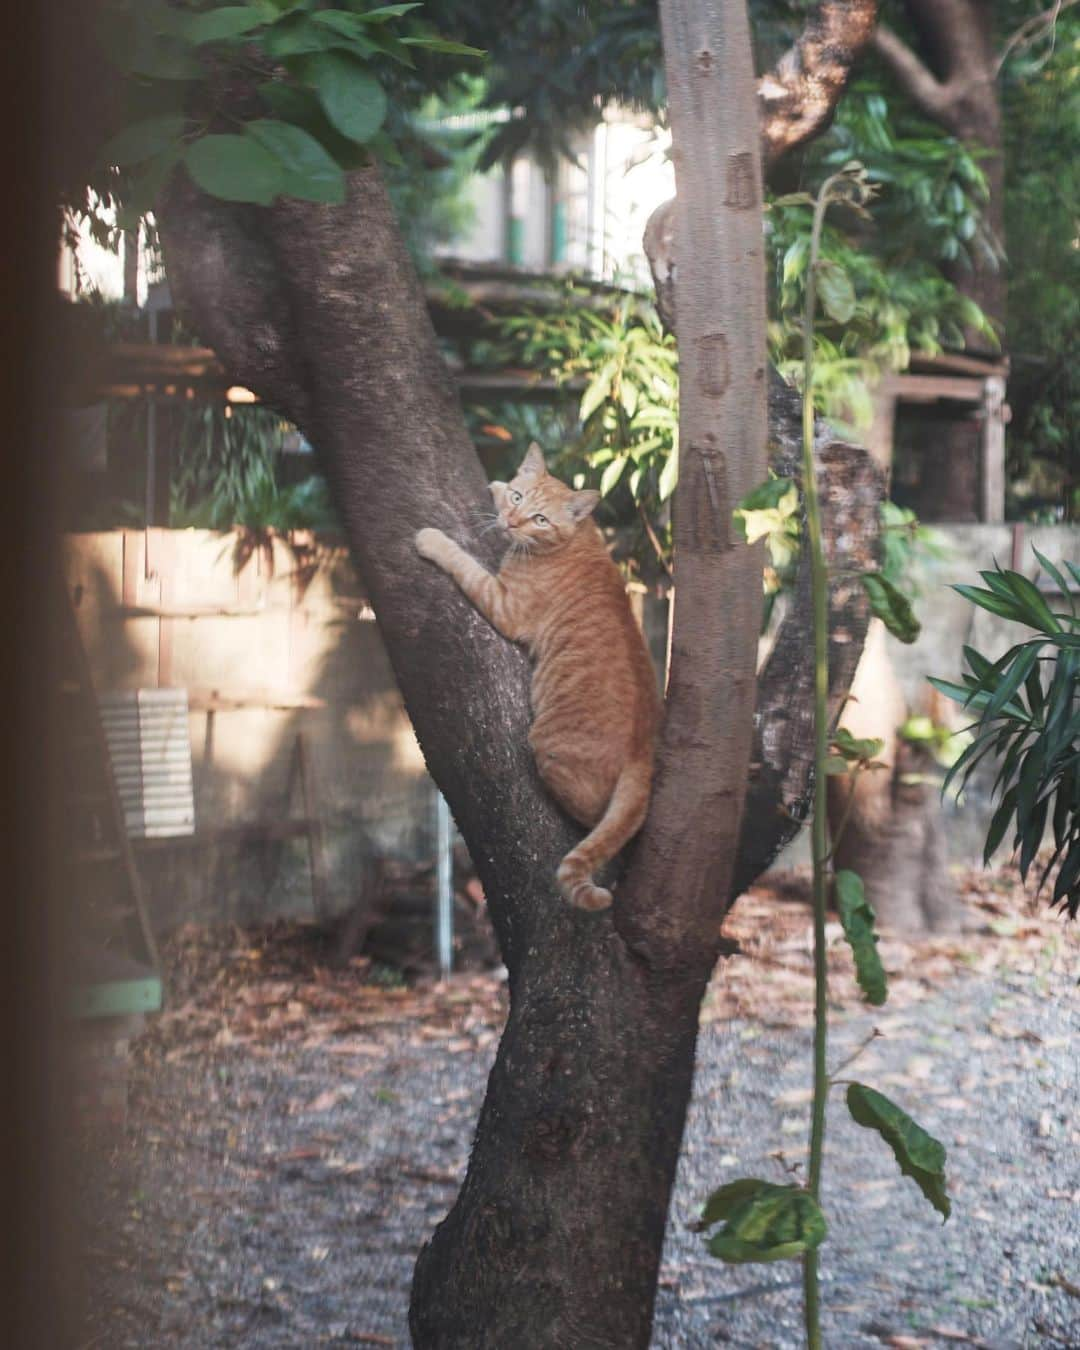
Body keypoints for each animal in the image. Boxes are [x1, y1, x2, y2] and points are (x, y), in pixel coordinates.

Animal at [418, 442, 661, 907]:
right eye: (519, 498)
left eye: (540, 519)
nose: (512, 521)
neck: (579, 538)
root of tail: (646, 748)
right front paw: (496, 487)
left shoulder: (502, 603)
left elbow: (462, 562)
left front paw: (431, 540)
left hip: (549, 750)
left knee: (594, 817)